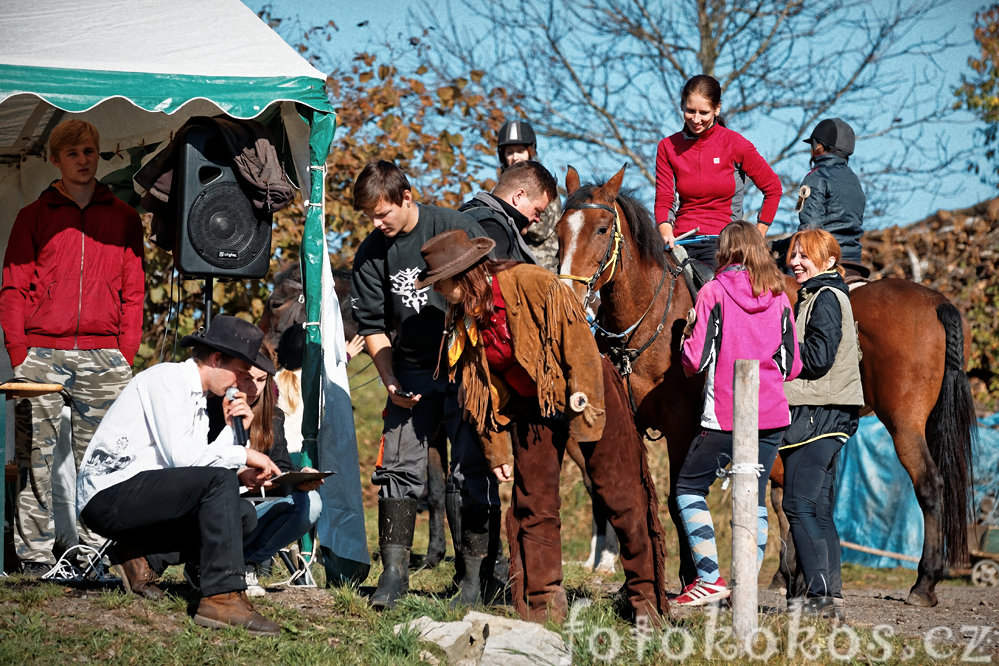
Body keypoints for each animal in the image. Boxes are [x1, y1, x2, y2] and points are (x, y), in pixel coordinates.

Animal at [564, 163, 976, 604]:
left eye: (602, 228)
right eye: (559, 229)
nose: (569, 290)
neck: (655, 312)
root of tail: (936, 301)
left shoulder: (682, 429)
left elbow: (680, 499)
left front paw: (692, 577)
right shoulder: (637, 424)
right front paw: (634, 585)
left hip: (904, 422)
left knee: (930, 485)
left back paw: (924, 582)